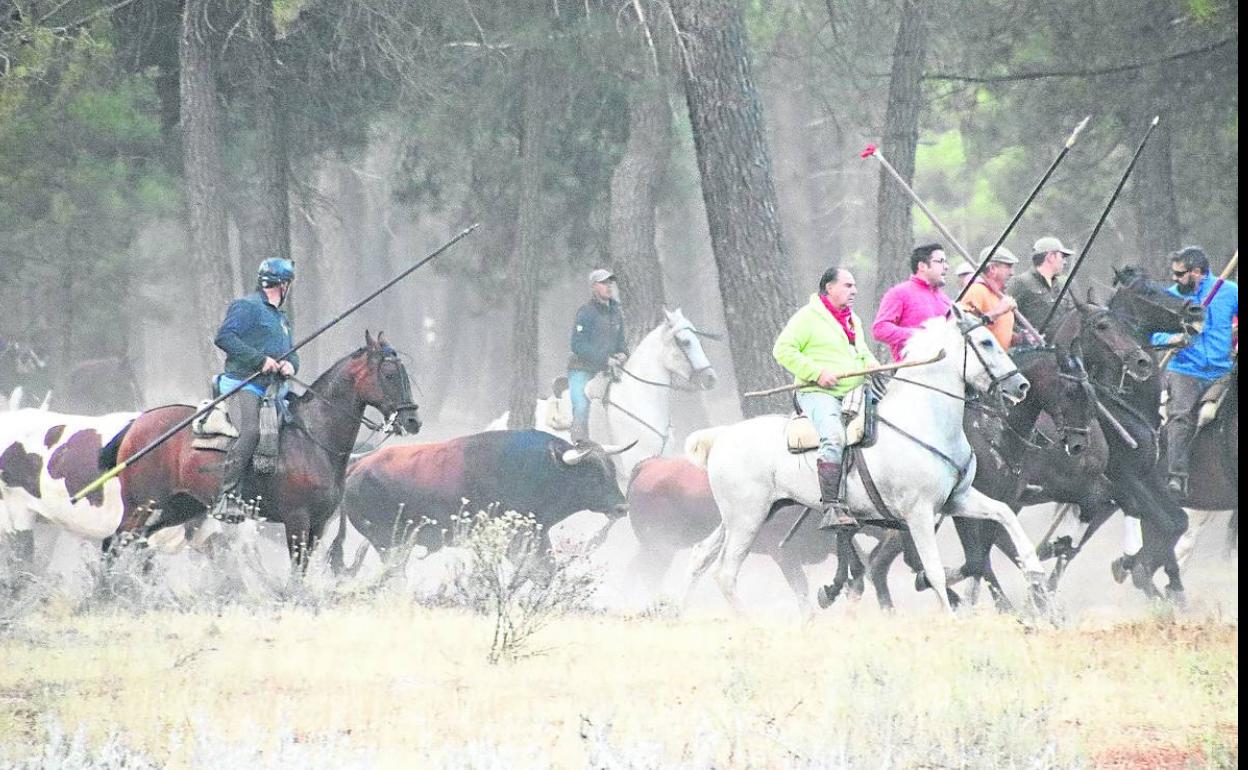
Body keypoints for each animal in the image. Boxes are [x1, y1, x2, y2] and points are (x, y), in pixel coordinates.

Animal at [99, 326, 421, 566]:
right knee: (113, 542)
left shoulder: (318, 524)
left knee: (136, 543)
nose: (413, 420)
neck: (312, 438)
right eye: (390, 375)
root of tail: (137, 422)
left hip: (178, 506)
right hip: (141, 505)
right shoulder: (297, 521)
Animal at [678, 311, 1048, 611]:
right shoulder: (918, 514)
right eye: (985, 341)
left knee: (700, 557)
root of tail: (721, 437)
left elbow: (1002, 513)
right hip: (747, 520)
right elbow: (933, 571)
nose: (1021, 385)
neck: (925, 420)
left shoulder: (957, 499)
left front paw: (1035, 568)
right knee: (725, 573)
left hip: (747, 515)